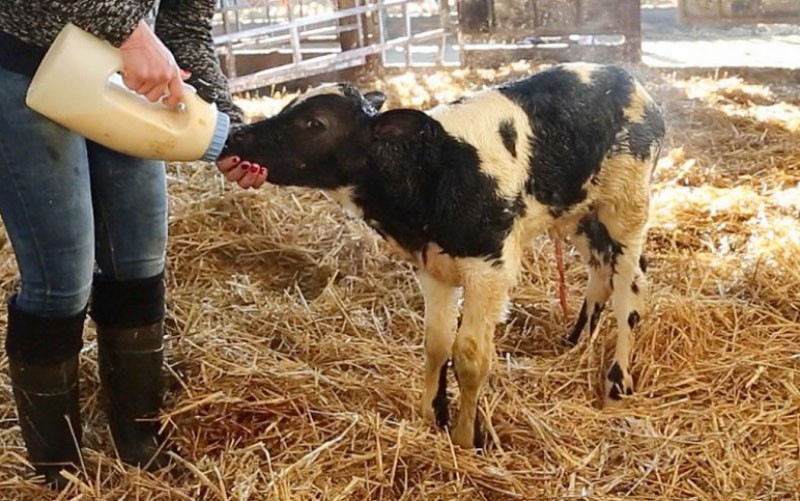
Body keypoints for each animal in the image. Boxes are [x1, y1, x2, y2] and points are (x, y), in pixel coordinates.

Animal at [222, 63, 664, 450]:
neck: (428, 170)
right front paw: (430, 414)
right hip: (581, 213)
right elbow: (435, 343)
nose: (236, 136)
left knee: (630, 288)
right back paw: (575, 342)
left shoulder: (488, 266)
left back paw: (616, 382)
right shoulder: (432, 267)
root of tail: (630, 80)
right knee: (601, 272)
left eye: (315, 124)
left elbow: (469, 355)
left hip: (626, 207)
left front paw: (467, 437)